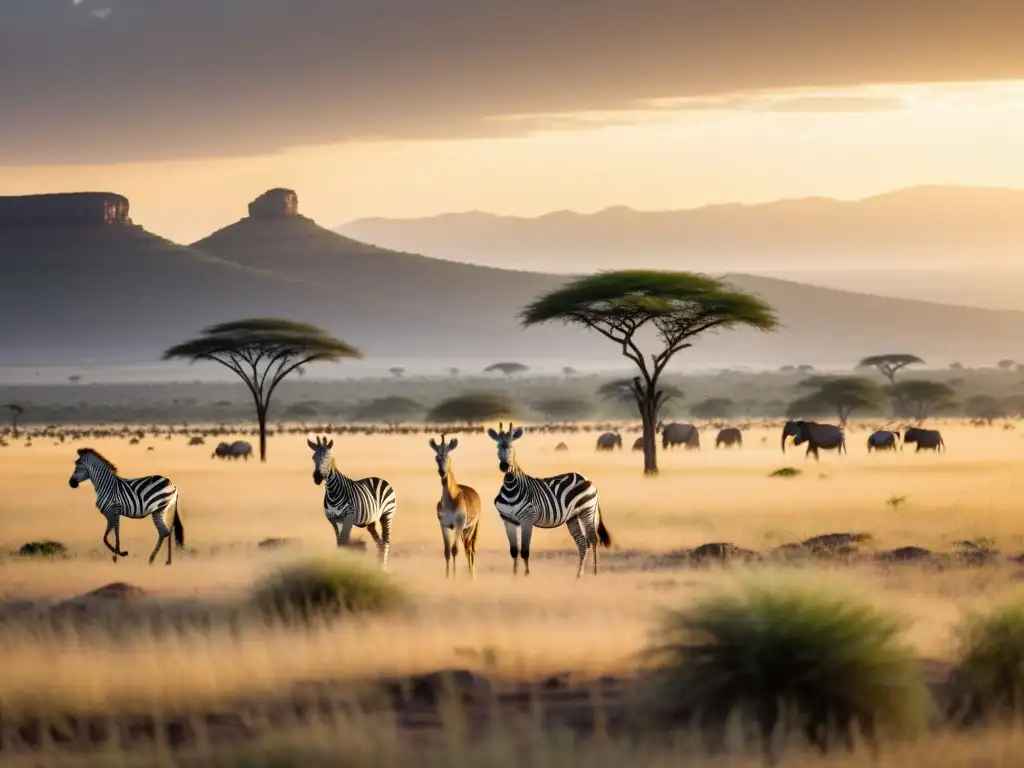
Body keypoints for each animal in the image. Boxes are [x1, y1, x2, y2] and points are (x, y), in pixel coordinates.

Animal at [303, 436, 395, 569]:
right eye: (313, 458)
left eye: (329, 457)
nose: (317, 478)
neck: (333, 492)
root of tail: (380, 479)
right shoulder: (334, 520)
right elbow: (339, 542)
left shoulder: (349, 517)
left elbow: (345, 541)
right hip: (371, 521)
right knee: (380, 542)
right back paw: (378, 566)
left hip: (387, 514)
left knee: (386, 541)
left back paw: (383, 568)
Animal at [485, 423, 610, 581]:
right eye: (497, 447)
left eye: (512, 447)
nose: (504, 466)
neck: (510, 487)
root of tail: (586, 478)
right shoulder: (508, 520)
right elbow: (514, 551)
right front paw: (514, 576)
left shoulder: (527, 519)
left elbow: (524, 550)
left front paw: (527, 575)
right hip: (573, 517)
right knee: (583, 543)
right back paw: (579, 575)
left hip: (586, 510)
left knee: (593, 539)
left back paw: (594, 573)